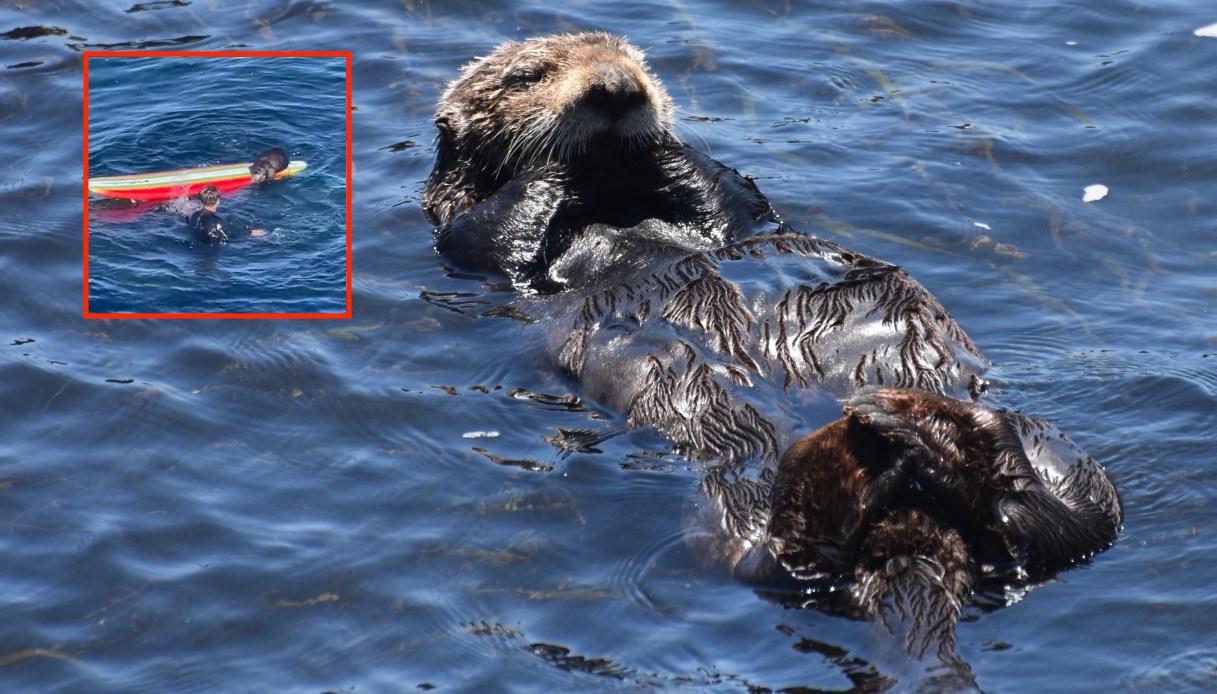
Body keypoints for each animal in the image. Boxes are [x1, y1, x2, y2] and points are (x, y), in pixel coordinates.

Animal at [421, 31, 1119, 676]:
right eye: (527, 76)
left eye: (637, 60)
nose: (617, 88)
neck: (615, 203)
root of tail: (915, 526)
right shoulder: (465, 238)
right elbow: (496, 226)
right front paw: (568, 164)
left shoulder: (743, 214)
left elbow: (728, 192)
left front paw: (656, 145)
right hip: (727, 498)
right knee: (786, 563)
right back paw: (850, 453)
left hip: (1054, 448)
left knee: (1062, 527)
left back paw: (935, 435)